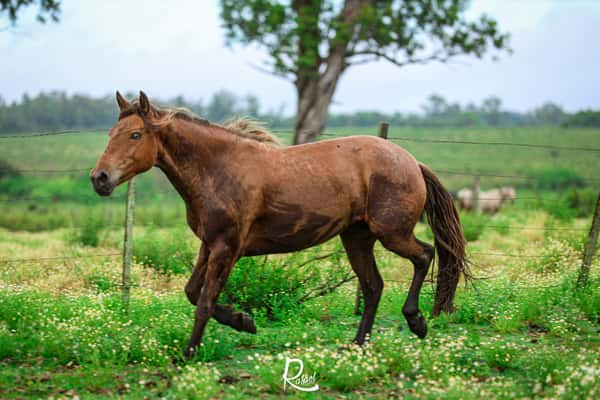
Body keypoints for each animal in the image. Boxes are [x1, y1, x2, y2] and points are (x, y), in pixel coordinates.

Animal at [90, 92, 468, 358]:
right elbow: (192, 292)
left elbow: (205, 302)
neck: (219, 168)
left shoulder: (227, 247)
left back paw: (417, 322)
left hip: (391, 233)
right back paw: (358, 344)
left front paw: (189, 353)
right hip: (357, 238)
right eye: (111, 133)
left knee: (424, 255)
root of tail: (412, 162)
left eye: (135, 134)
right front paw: (244, 321)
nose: (99, 179)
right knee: (374, 285)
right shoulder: (209, 244)